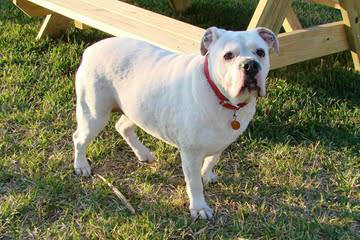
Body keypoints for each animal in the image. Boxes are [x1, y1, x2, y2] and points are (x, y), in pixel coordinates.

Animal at [72, 26, 278, 219]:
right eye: (228, 55)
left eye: (261, 52)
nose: (250, 65)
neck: (225, 100)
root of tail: (91, 49)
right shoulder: (191, 154)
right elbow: (194, 184)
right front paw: (199, 207)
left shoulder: (222, 141)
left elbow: (212, 159)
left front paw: (207, 174)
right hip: (94, 115)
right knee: (79, 139)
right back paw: (81, 165)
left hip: (136, 107)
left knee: (122, 126)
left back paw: (143, 153)